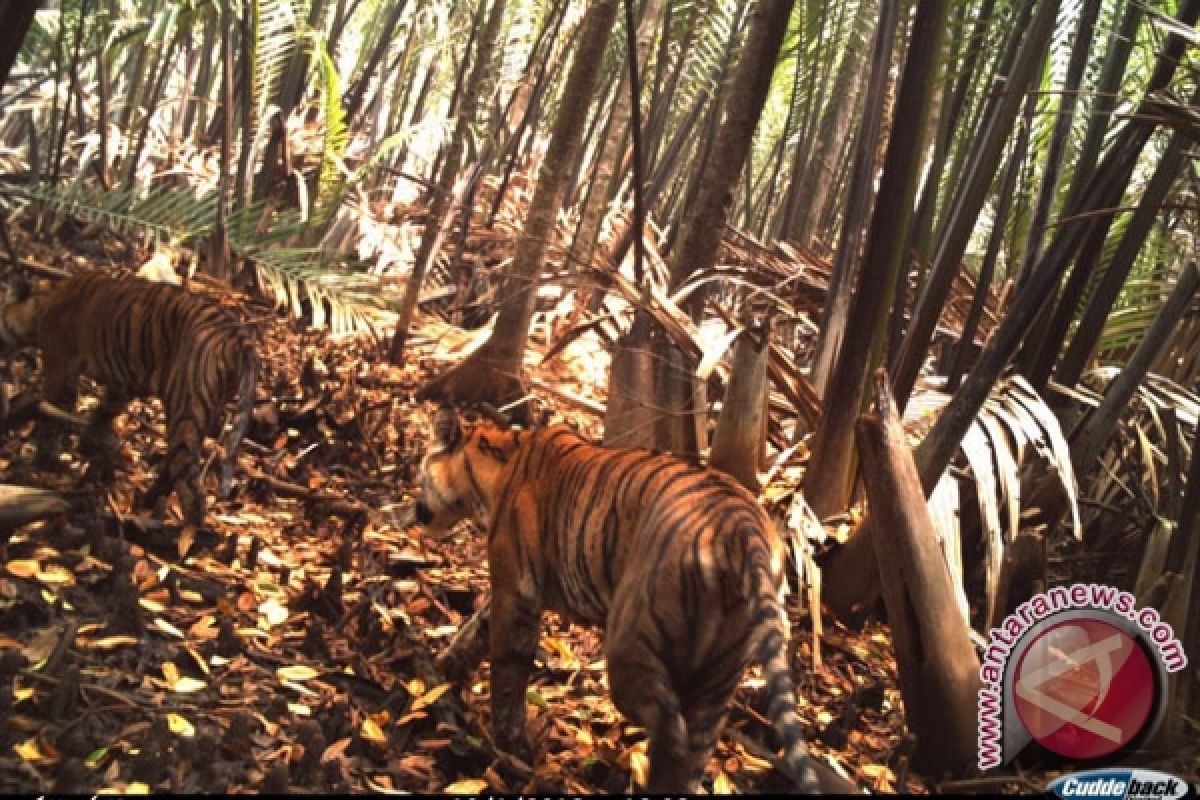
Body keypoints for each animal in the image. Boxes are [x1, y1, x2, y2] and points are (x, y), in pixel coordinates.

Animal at [0, 272, 258, 527]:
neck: (44, 301)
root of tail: (239, 335)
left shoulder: (60, 370)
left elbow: (51, 416)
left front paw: (41, 462)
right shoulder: (122, 385)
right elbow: (103, 412)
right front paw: (88, 442)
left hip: (187, 407)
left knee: (191, 487)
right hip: (203, 409)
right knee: (174, 467)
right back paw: (146, 503)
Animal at [412, 407, 825, 796]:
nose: (415, 510)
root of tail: (744, 528)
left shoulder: (516, 590)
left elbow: (507, 667)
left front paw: (508, 742)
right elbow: (476, 629)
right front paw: (446, 667)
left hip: (631, 637)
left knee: (670, 728)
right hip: (720, 672)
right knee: (694, 748)